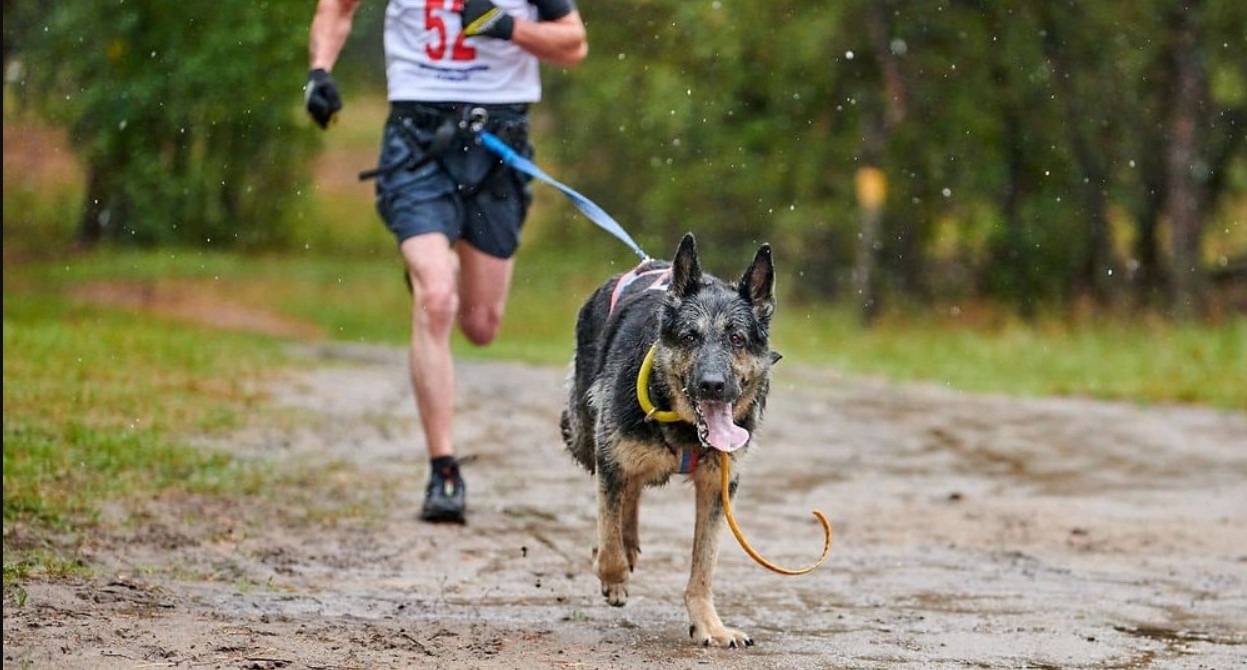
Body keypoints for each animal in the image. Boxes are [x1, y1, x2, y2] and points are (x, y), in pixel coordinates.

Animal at [561, 232, 773, 643]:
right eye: (690, 337)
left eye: (737, 339)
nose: (712, 385)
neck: (686, 431)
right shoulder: (610, 460)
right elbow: (608, 543)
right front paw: (614, 577)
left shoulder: (716, 489)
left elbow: (703, 569)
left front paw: (709, 625)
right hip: (582, 437)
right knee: (621, 491)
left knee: (633, 491)